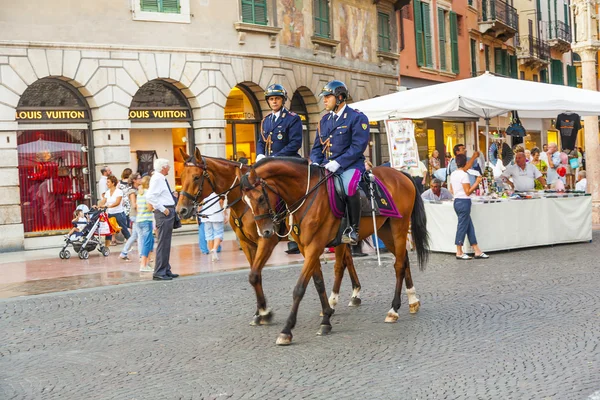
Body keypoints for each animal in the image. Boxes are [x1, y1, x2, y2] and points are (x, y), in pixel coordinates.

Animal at [173, 148, 360, 326]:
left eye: (196, 177)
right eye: (181, 176)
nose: (180, 210)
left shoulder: (267, 240)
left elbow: (255, 274)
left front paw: (264, 312)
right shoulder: (247, 243)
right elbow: (255, 275)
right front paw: (259, 311)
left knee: (341, 263)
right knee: (347, 260)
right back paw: (353, 294)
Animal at [237, 158, 428, 346]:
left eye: (261, 198)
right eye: (245, 201)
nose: (265, 232)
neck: (305, 194)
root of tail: (400, 174)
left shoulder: (315, 245)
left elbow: (299, 288)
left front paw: (286, 330)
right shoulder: (305, 247)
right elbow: (318, 282)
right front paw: (326, 318)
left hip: (399, 227)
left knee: (398, 265)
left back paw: (393, 310)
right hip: (384, 230)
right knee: (403, 259)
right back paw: (412, 301)